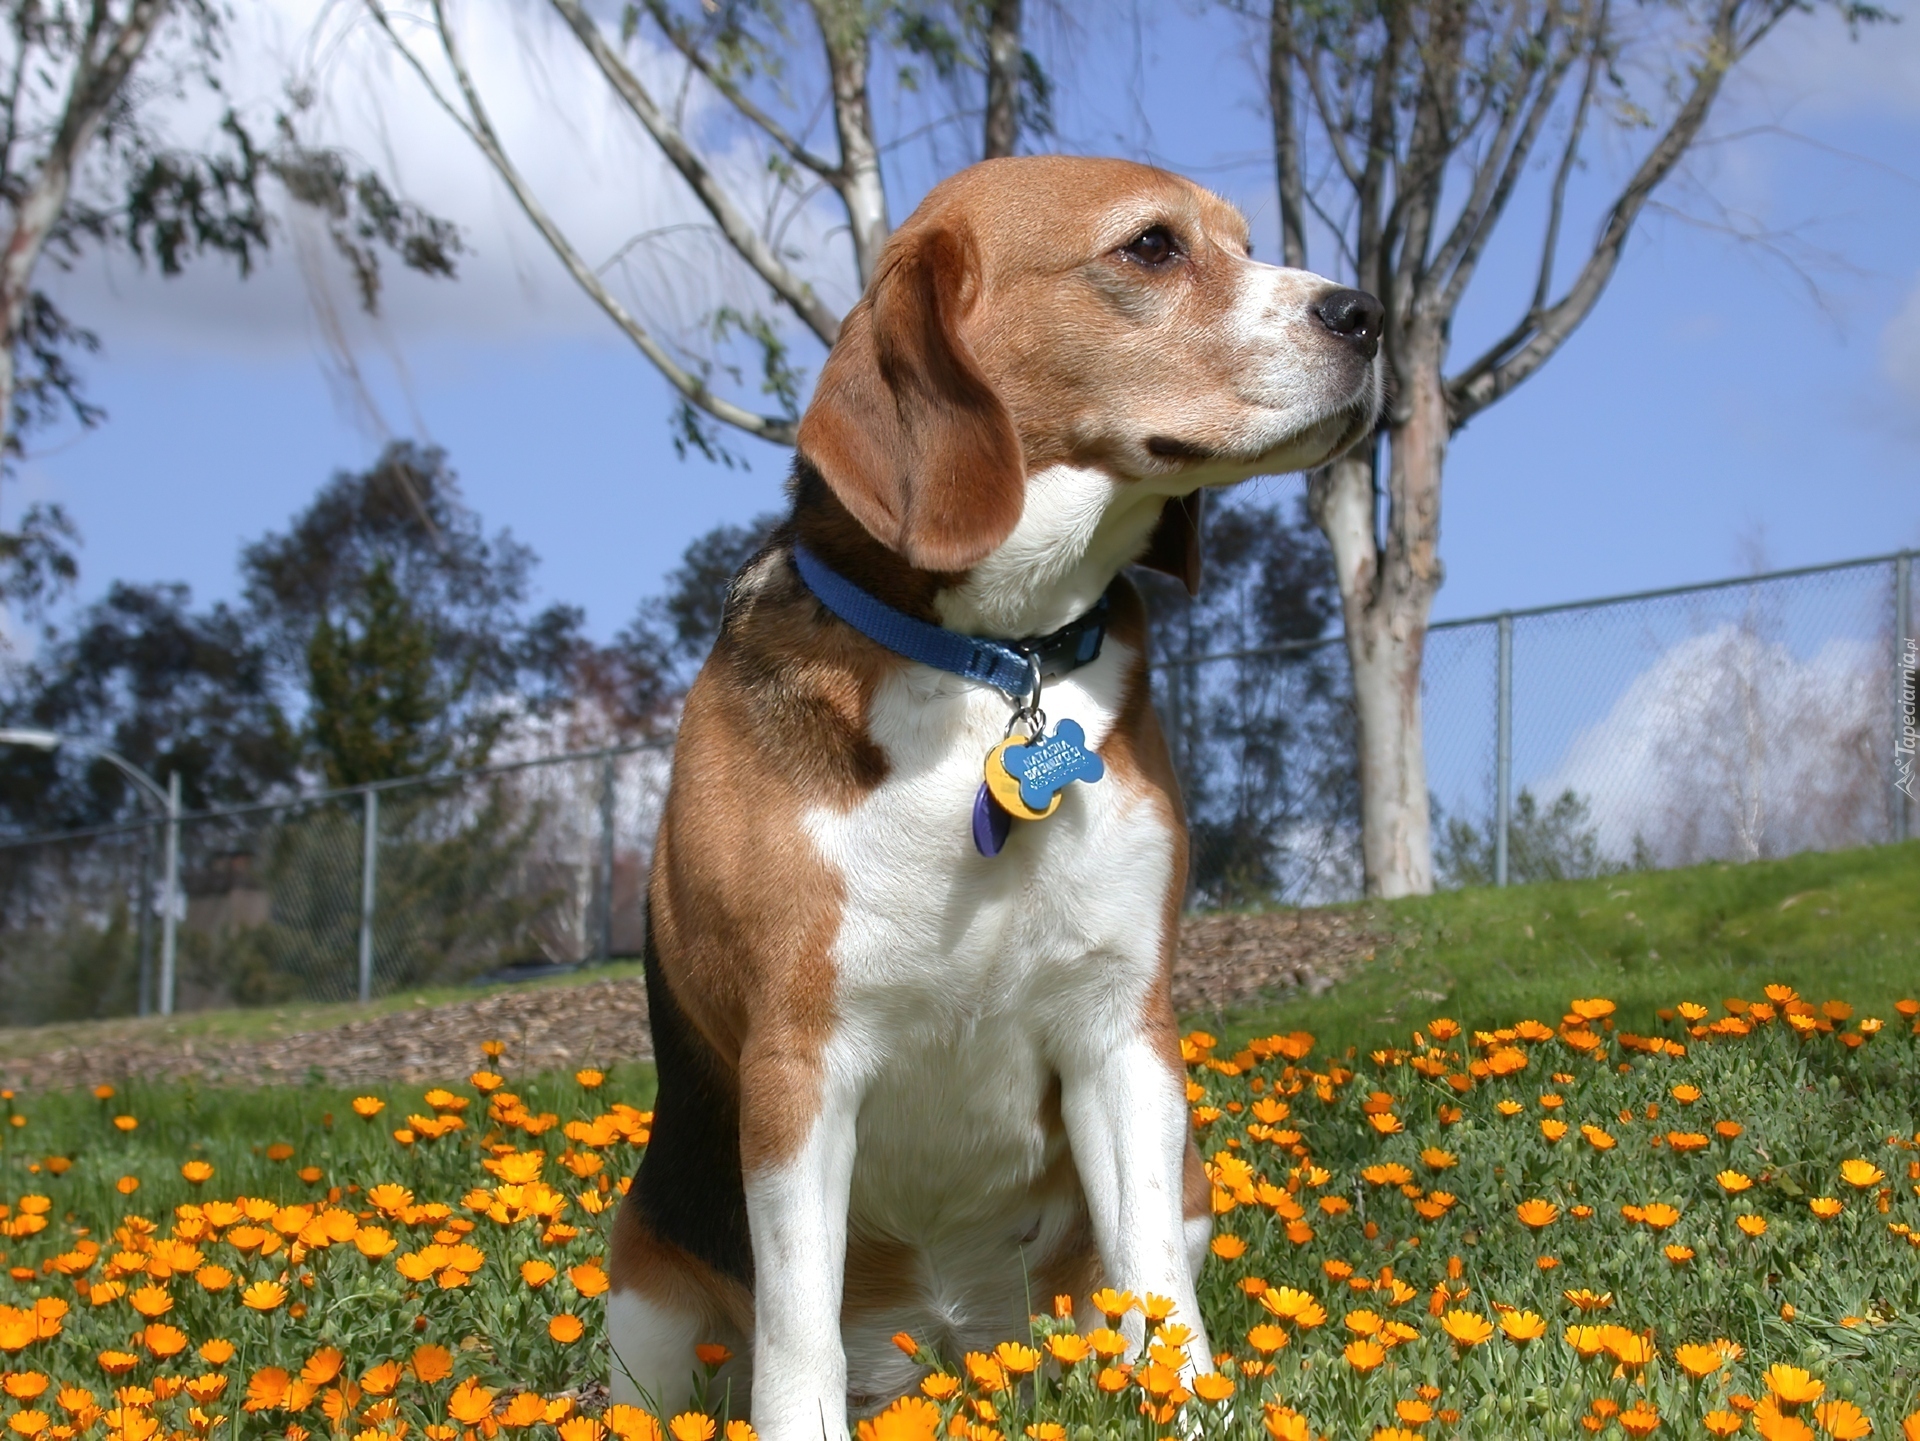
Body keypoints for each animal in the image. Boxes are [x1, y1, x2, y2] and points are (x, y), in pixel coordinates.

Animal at [614, 157, 1382, 1441]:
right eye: (1152, 246)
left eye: (1242, 239)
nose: (1369, 314)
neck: (993, 665)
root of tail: (947, 1347)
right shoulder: (797, 1061)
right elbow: (796, 1334)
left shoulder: (1121, 1029)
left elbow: (1163, 1297)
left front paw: (1188, 1408)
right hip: (640, 1284)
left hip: (1182, 1184)